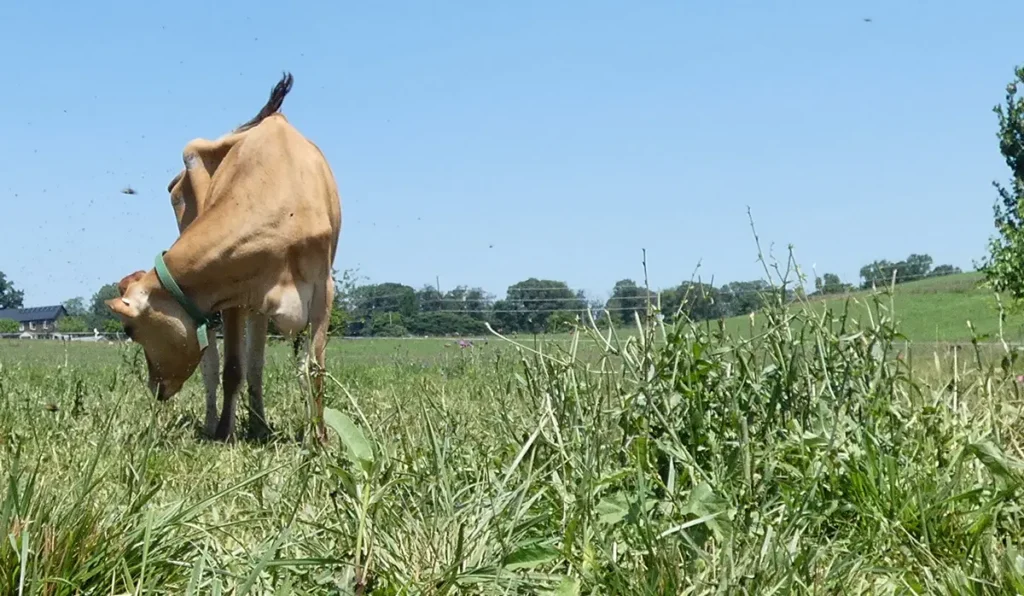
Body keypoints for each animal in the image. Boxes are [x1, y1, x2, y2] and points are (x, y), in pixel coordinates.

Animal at [108, 72, 342, 443]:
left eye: (130, 330)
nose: (155, 389)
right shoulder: (232, 294)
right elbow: (232, 366)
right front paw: (223, 431)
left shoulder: (323, 287)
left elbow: (314, 366)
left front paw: (319, 439)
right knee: (215, 364)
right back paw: (214, 422)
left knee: (255, 363)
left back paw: (260, 424)